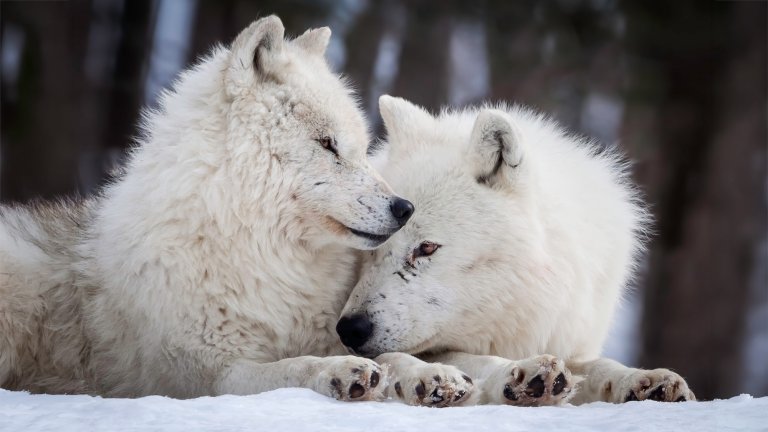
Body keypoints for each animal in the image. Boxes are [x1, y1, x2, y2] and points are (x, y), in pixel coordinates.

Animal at [0, 17, 427, 401]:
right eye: (327, 144)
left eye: (361, 147)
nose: (405, 208)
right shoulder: (209, 375)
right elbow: (292, 367)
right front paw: (338, 372)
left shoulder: (332, 331)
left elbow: (391, 354)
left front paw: (428, 376)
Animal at [337, 95, 696, 406]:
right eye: (371, 248)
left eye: (426, 248)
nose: (350, 329)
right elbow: (473, 360)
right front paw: (521, 374)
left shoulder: (566, 337)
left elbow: (598, 366)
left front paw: (644, 380)